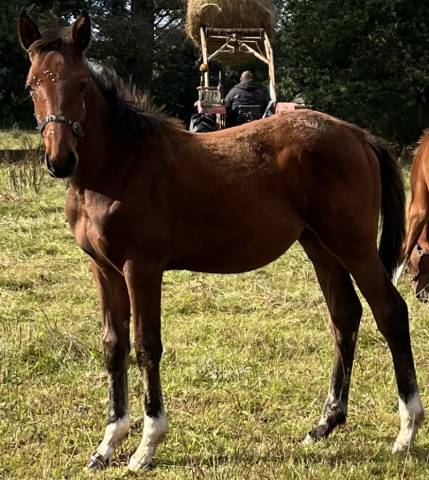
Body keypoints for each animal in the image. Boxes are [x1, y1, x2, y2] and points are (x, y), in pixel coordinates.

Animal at [18, 10, 422, 472]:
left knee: (389, 311)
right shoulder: (103, 269)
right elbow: (113, 345)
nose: (60, 160)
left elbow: (145, 345)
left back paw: (407, 430)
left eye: (81, 84)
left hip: (352, 243)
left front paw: (146, 445)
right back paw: (324, 424)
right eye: (31, 85)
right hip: (319, 245)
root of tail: (358, 135)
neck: (120, 166)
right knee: (345, 314)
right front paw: (107, 444)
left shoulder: (142, 267)